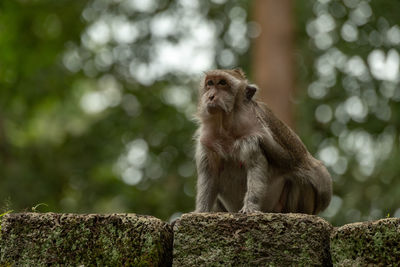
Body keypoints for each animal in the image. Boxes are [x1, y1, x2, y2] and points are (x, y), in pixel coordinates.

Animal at [194, 69, 332, 216]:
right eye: (209, 83)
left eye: (222, 83)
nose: (210, 96)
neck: (225, 125)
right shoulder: (207, 141)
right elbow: (209, 174)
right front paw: (201, 211)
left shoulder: (253, 132)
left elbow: (259, 165)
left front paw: (250, 207)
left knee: (304, 178)